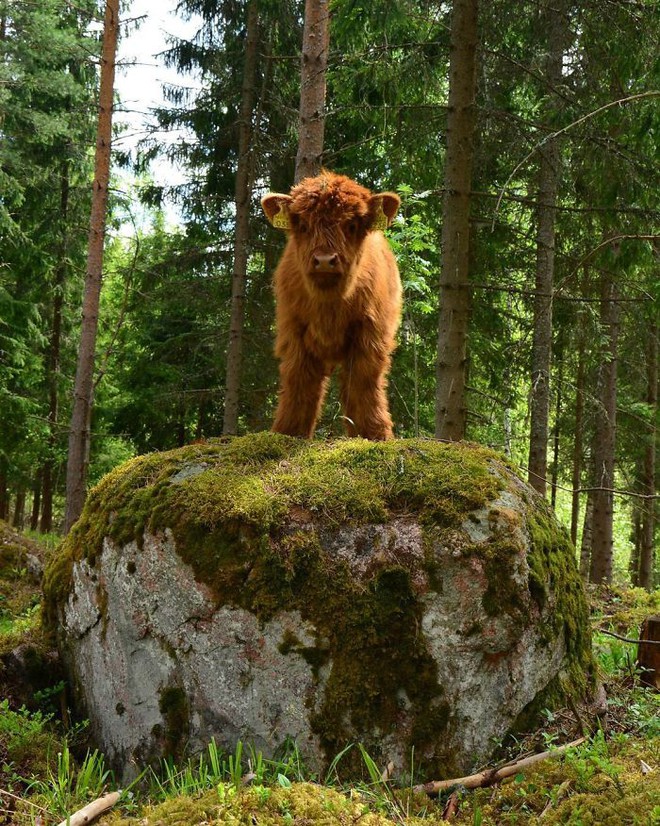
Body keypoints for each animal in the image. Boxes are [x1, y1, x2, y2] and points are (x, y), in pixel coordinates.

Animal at [260, 167, 400, 438]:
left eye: (352, 225)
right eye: (303, 225)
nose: (325, 261)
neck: (329, 304)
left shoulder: (370, 335)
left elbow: (364, 383)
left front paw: (374, 434)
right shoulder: (293, 331)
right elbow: (299, 380)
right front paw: (289, 431)